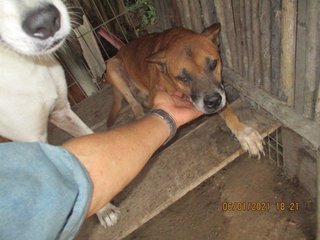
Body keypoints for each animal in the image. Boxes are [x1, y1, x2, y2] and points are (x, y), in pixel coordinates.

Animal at [105, 23, 262, 157]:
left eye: (213, 64)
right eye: (183, 78)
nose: (214, 101)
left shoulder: (220, 93)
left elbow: (229, 111)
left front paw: (244, 132)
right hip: (112, 66)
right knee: (133, 103)